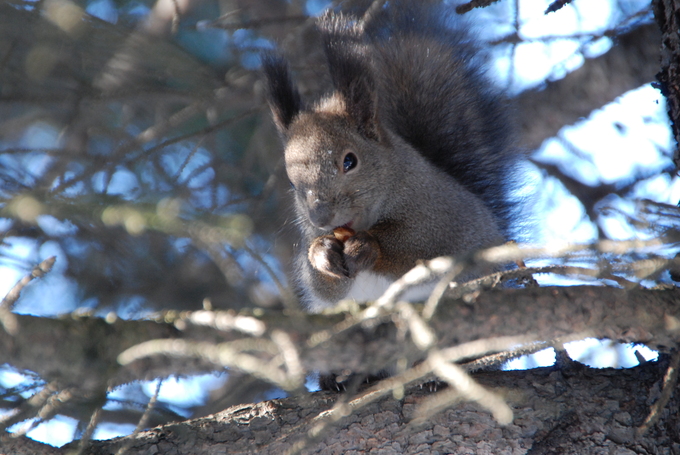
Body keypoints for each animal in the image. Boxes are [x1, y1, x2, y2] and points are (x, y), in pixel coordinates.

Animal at [260, 0, 520, 314]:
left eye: (350, 161)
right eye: (292, 183)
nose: (321, 218)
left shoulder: (445, 220)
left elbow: (422, 249)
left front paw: (368, 245)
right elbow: (324, 287)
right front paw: (321, 252)